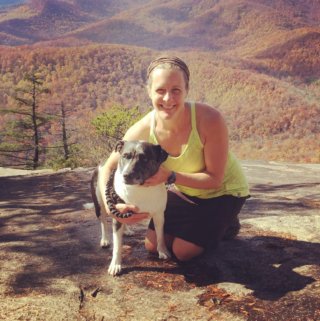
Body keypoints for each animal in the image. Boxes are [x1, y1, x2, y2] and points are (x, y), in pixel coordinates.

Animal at [90, 140, 170, 276]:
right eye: (125, 156)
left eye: (144, 159)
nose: (126, 175)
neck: (140, 189)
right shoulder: (117, 214)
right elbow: (117, 246)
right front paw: (115, 265)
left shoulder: (159, 215)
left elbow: (160, 235)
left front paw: (162, 251)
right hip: (100, 205)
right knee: (103, 221)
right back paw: (105, 239)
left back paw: (126, 230)